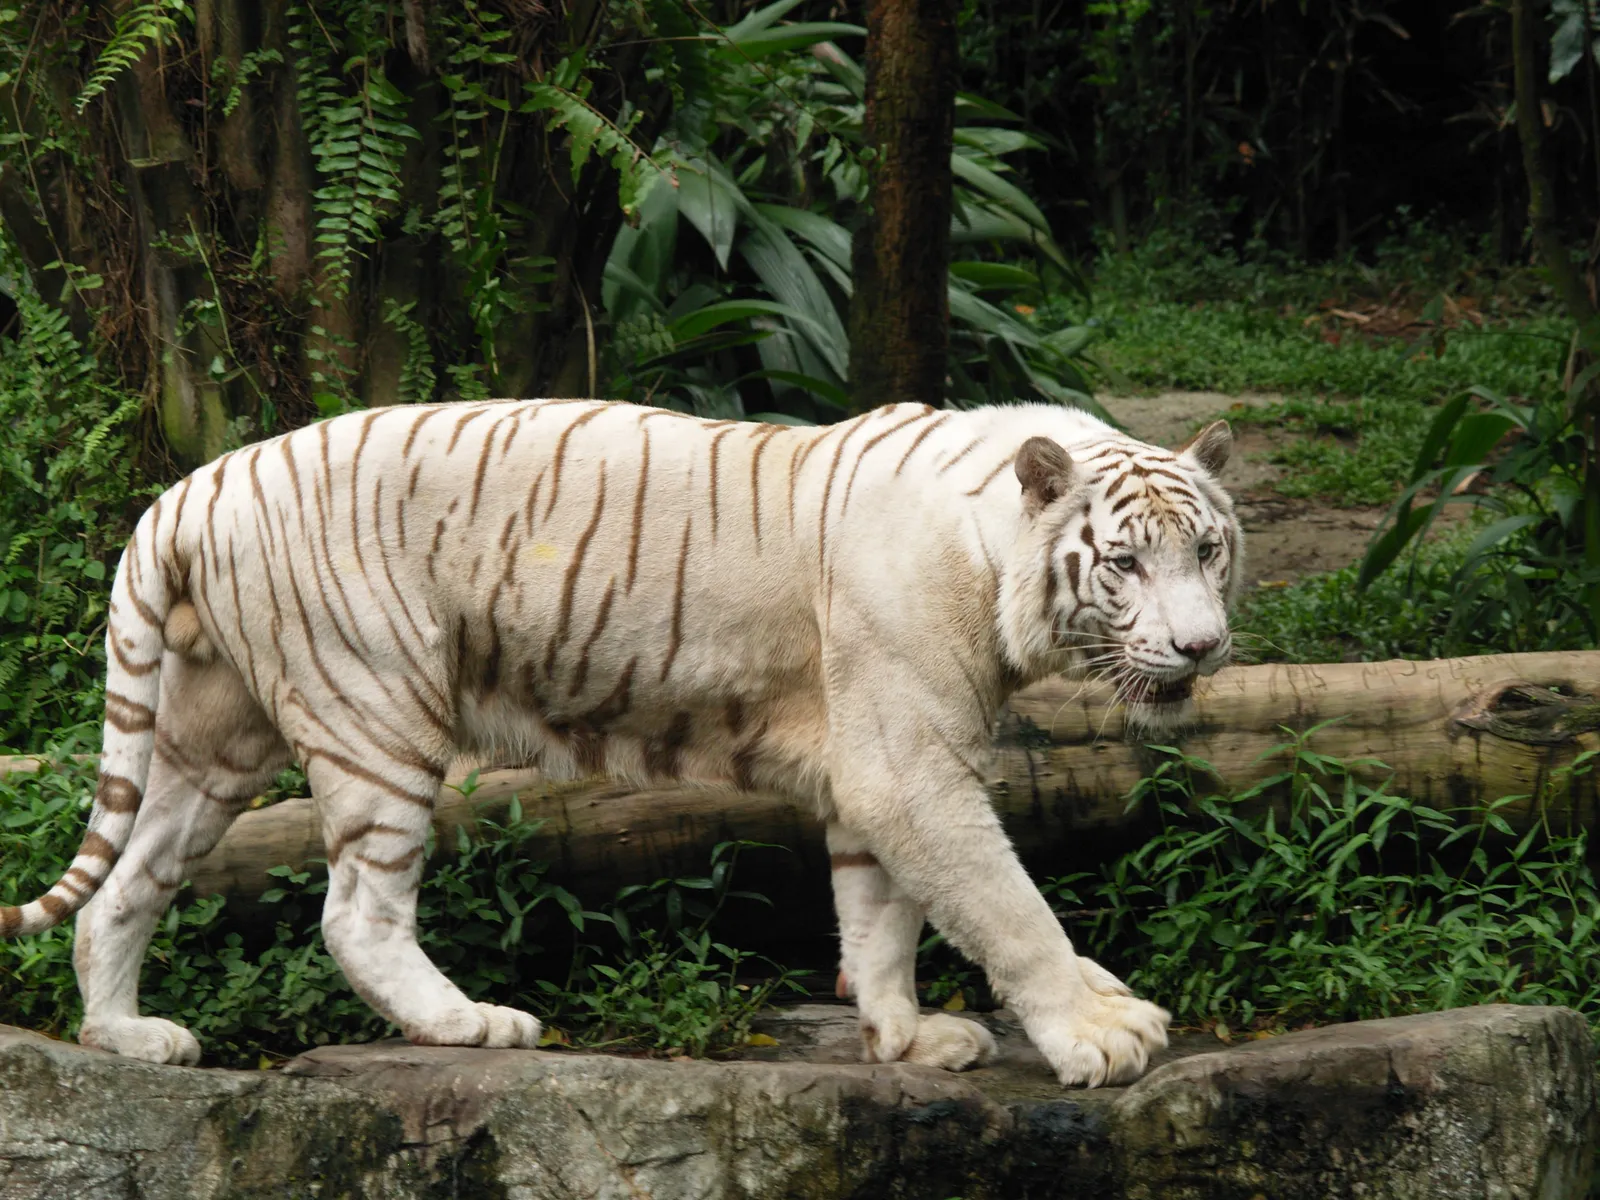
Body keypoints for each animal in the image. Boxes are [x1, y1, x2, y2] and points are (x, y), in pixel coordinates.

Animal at [0, 398, 1240, 1088]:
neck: (991, 556)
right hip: (377, 706)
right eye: (1123, 562)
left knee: (126, 887)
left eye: (1209, 550)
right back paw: (472, 1023)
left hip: (210, 741)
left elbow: (878, 915)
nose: (1202, 646)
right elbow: (1005, 906)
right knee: (354, 914)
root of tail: (191, 487)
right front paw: (1096, 1037)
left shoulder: (877, 762)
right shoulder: (909, 758)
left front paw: (904, 1040)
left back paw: (129, 1037)